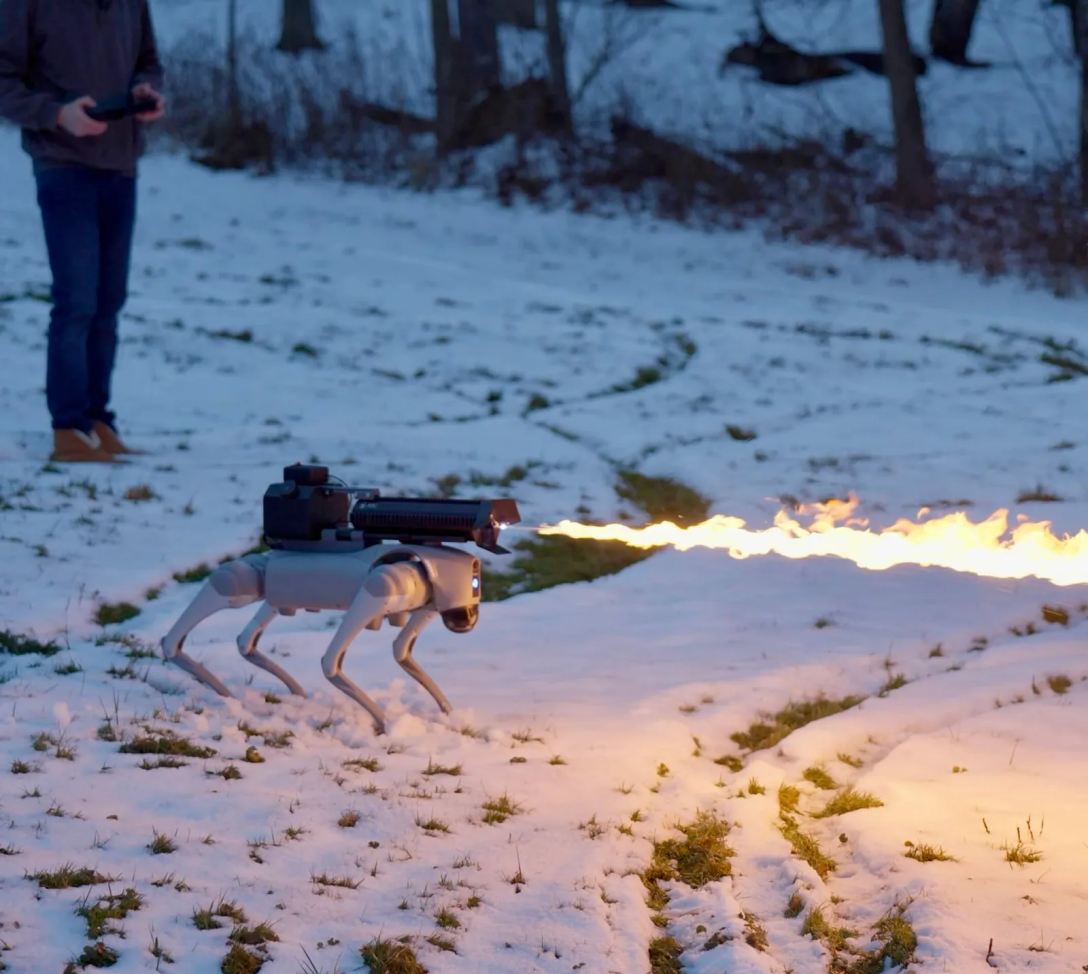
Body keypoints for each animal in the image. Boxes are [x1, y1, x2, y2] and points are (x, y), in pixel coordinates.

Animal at [158, 465, 520, 731]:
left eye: (475, 585)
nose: (467, 620)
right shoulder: (383, 584)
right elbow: (331, 662)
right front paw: (385, 724)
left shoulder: (427, 603)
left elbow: (400, 651)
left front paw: (447, 712)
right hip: (255, 577)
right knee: (213, 595)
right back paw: (225, 694)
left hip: (277, 588)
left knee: (245, 639)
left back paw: (288, 693)